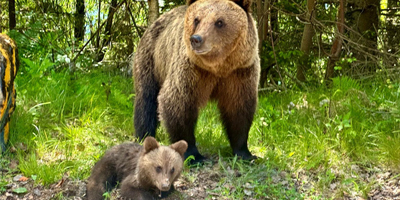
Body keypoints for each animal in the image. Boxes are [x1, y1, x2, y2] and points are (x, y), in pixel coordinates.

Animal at [133, 0, 260, 163]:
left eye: (219, 22)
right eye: (197, 19)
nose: (196, 39)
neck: (218, 68)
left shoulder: (239, 73)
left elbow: (239, 109)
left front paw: (245, 153)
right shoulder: (192, 71)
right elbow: (178, 103)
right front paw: (194, 155)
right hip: (151, 61)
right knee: (146, 100)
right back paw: (144, 136)